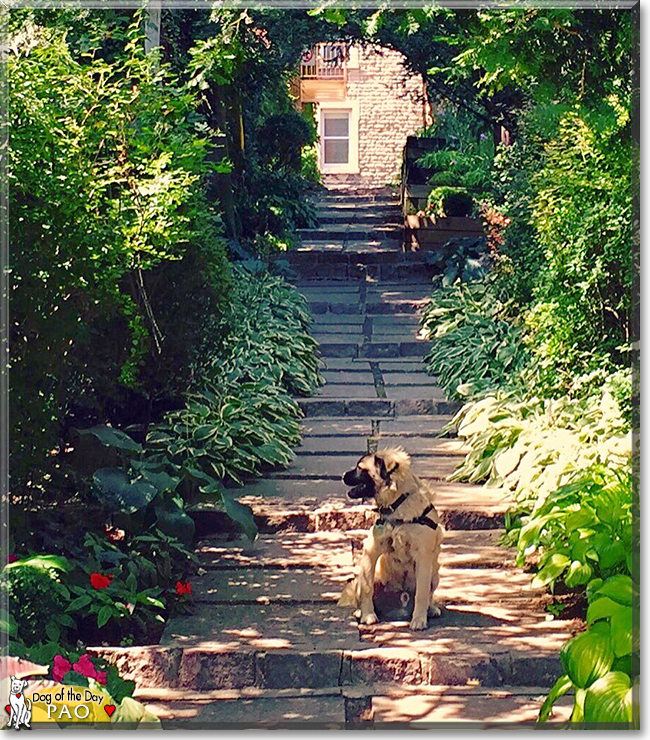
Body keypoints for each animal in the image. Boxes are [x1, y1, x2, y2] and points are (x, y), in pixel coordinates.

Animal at [336, 446, 442, 632]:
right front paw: (368, 615)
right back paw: (360, 611)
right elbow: (367, 589)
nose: (342, 475)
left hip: (435, 574)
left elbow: (422, 593)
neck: (398, 505)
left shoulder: (423, 558)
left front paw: (419, 619)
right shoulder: (371, 551)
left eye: (360, 468)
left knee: (429, 594)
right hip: (364, 575)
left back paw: (431, 609)